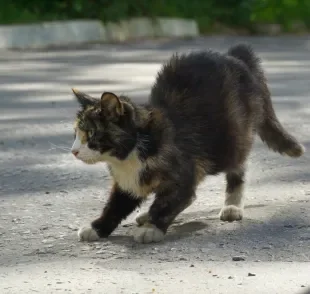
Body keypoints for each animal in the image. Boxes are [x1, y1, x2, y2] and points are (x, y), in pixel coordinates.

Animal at [71, 43, 306, 243]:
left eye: (91, 134)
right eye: (76, 133)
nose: (73, 151)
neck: (132, 152)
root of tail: (235, 55)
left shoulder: (182, 172)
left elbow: (169, 201)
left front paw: (152, 228)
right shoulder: (128, 182)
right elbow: (115, 206)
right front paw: (97, 227)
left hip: (233, 139)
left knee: (237, 169)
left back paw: (232, 206)